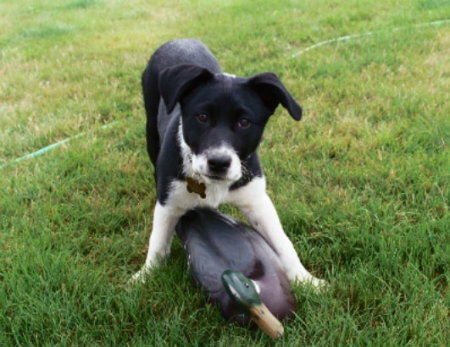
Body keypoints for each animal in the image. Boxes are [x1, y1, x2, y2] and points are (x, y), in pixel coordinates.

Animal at [132, 38, 326, 288]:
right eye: (202, 117)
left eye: (244, 122)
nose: (218, 163)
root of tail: (179, 40)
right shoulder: (169, 202)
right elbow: (157, 243)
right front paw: (144, 277)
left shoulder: (256, 200)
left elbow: (283, 241)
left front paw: (306, 279)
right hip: (150, 125)